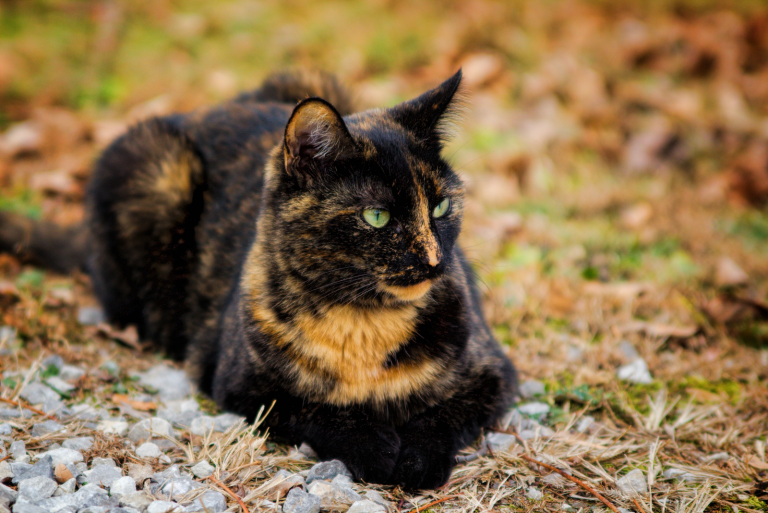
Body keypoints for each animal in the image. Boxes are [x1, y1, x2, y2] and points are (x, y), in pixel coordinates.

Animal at [0, 69, 520, 488]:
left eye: (442, 206)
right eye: (377, 216)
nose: (435, 261)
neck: (363, 323)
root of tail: (207, 110)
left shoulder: (492, 374)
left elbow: (440, 418)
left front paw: (415, 461)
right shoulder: (243, 385)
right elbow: (321, 412)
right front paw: (377, 449)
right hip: (156, 169)